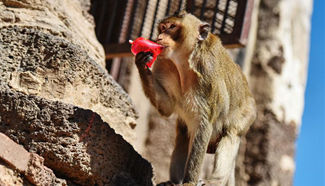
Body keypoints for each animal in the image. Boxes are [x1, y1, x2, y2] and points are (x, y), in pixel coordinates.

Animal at [134, 11, 256, 186]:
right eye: (163, 27)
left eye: (172, 27)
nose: (159, 37)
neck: (184, 62)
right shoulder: (164, 65)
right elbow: (167, 107)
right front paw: (142, 62)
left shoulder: (207, 71)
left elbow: (204, 124)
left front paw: (190, 182)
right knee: (183, 133)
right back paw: (174, 181)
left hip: (247, 116)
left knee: (231, 134)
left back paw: (214, 181)